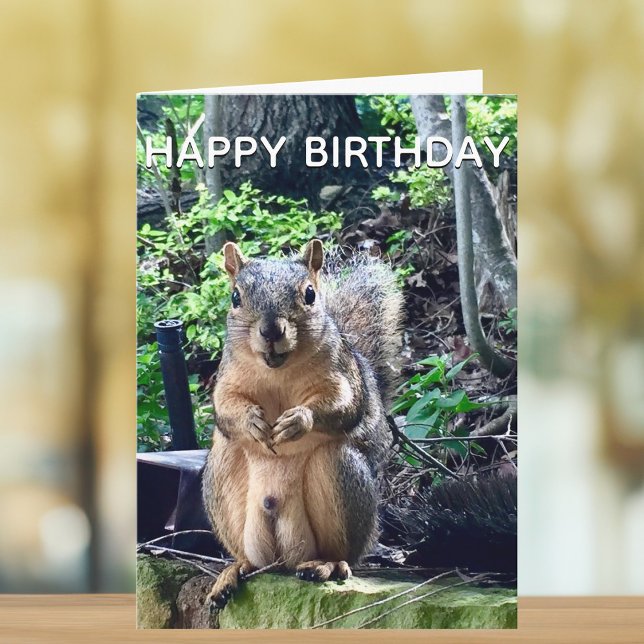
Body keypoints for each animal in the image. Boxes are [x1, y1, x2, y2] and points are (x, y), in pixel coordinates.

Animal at [202, 239, 403, 608]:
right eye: (235, 297)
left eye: (310, 294)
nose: (271, 330)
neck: (277, 370)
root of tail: (284, 558)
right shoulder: (227, 378)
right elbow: (225, 408)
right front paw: (251, 421)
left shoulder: (341, 374)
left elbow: (346, 405)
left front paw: (298, 421)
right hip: (223, 477)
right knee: (251, 560)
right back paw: (233, 571)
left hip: (339, 473)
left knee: (341, 553)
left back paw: (327, 565)